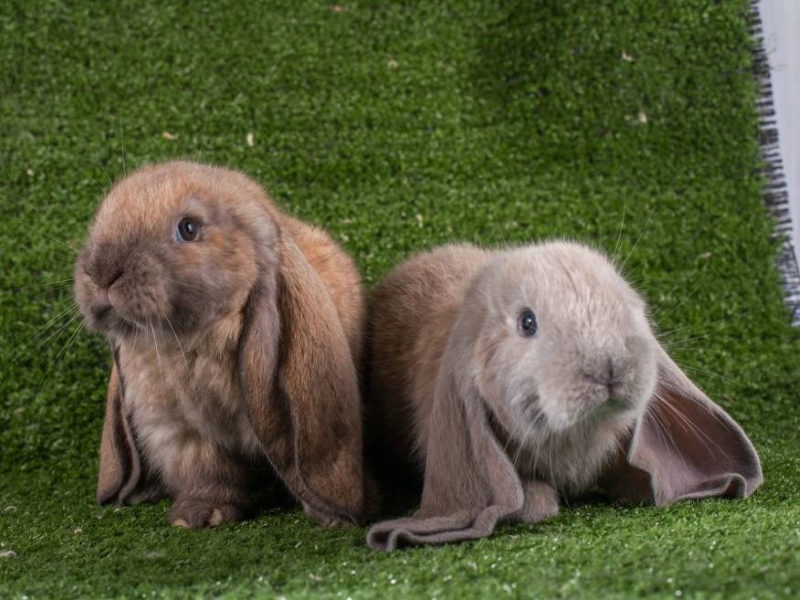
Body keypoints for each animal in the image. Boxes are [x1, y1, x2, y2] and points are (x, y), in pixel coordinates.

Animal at [73, 162, 368, 528]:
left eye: (188, 228)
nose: (102, 271)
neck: (183, 342)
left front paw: (332, 520)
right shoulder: (186, 431)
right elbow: (208, 472)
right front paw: (199, 517)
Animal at [364, 241, 764, 552]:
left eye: (628, 306)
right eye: (527, 322)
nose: (609, 367)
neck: (576, 433)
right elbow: (527, 498)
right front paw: (540, 501)